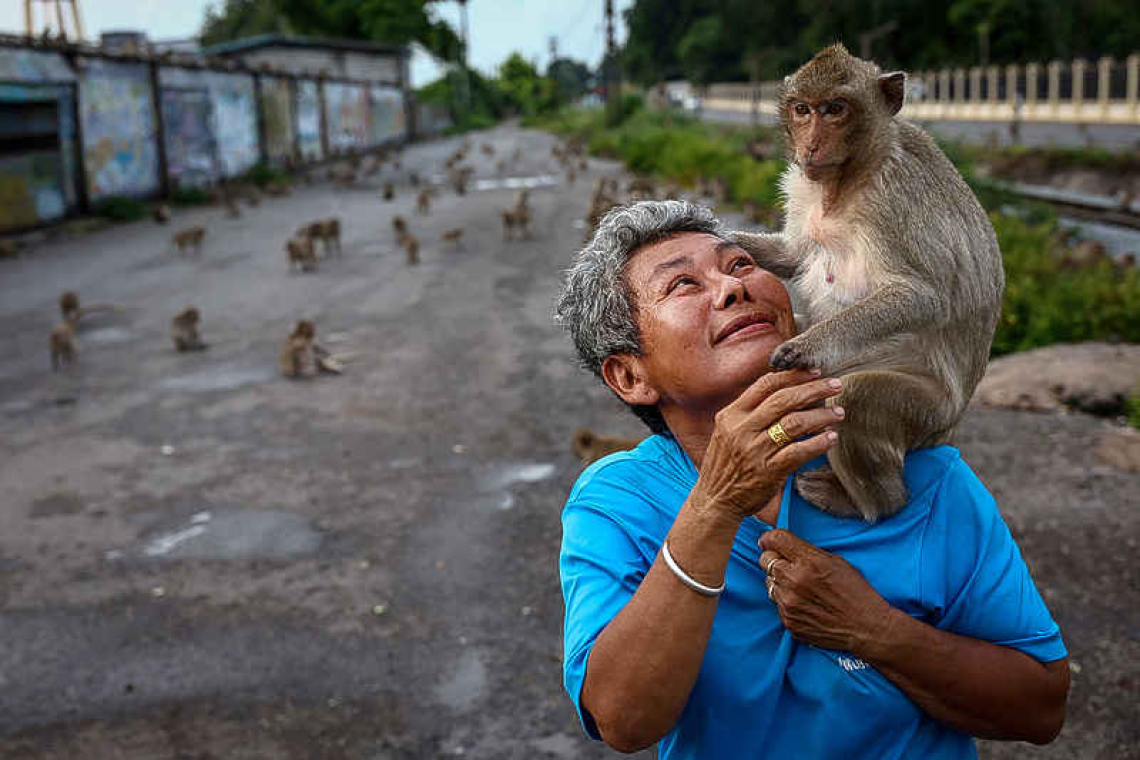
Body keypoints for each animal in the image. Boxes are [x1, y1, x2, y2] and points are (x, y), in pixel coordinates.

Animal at [729, 43, 1007, 524]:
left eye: (835, 109)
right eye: (803, 109)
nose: (811, 144)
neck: (845, 181)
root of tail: (952, 425)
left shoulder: (893, 199)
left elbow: (922, 296)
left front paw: (804, 346)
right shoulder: (803, 185)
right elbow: (792, 253)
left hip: (928, 413)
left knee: (857, 397)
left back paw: (870, 502)